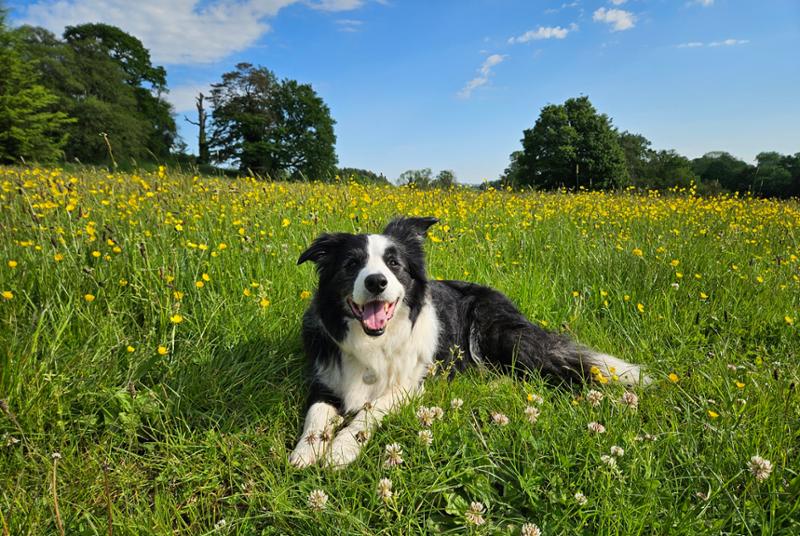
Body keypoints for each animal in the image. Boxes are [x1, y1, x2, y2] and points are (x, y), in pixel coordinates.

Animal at [290, 218, 648, 468]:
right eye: (351, 264)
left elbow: (369, 409)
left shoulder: (410, 387)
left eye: (394, 264)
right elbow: (316, 415)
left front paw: (342, 448)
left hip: (496, 334)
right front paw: (307, 450)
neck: (373, 342)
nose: (376, 282)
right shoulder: (325, 381)